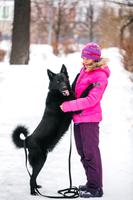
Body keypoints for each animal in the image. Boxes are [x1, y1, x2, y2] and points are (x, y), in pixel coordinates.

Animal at [12, 64, 93, 195]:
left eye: (64, 79)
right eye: (58, 81)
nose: (64, 87)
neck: (59, 95)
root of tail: (27, 140)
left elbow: (74, 87)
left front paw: (77, 76)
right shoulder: (76, 109)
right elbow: (83, 95)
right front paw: (91, 85)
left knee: (33, 176)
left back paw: (36, 187)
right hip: (41, 160)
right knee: (32, 177)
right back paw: (33, 192)